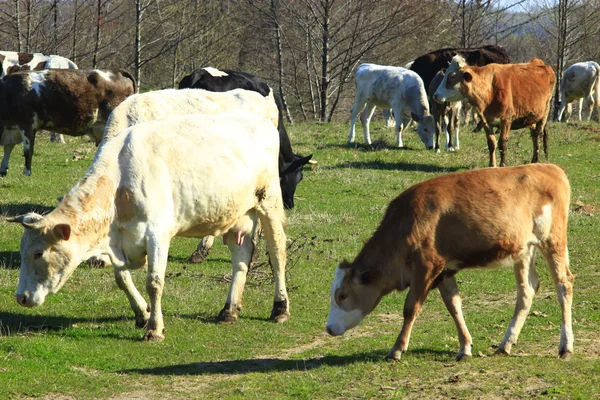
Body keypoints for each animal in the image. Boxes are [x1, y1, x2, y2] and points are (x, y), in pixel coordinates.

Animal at [0, 69, 135, 177]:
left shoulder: (26, 124)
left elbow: (28, 151)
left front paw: (26, 173)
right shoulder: (11, 129)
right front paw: (3, 170)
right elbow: (8, 148)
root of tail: (118, 71)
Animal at [326, 164, 576, 360]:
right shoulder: (444, 272)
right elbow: (454, 306)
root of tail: (550, 168)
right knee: (527, 290)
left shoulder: (426, 267)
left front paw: (396, 349)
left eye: (342, 295)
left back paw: (565, 346)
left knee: (564, 284)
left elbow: (410, 308)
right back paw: (505, 344)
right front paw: (465, 347)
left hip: (552, 240)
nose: (328, 328)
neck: (405, 224)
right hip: (524, 249)